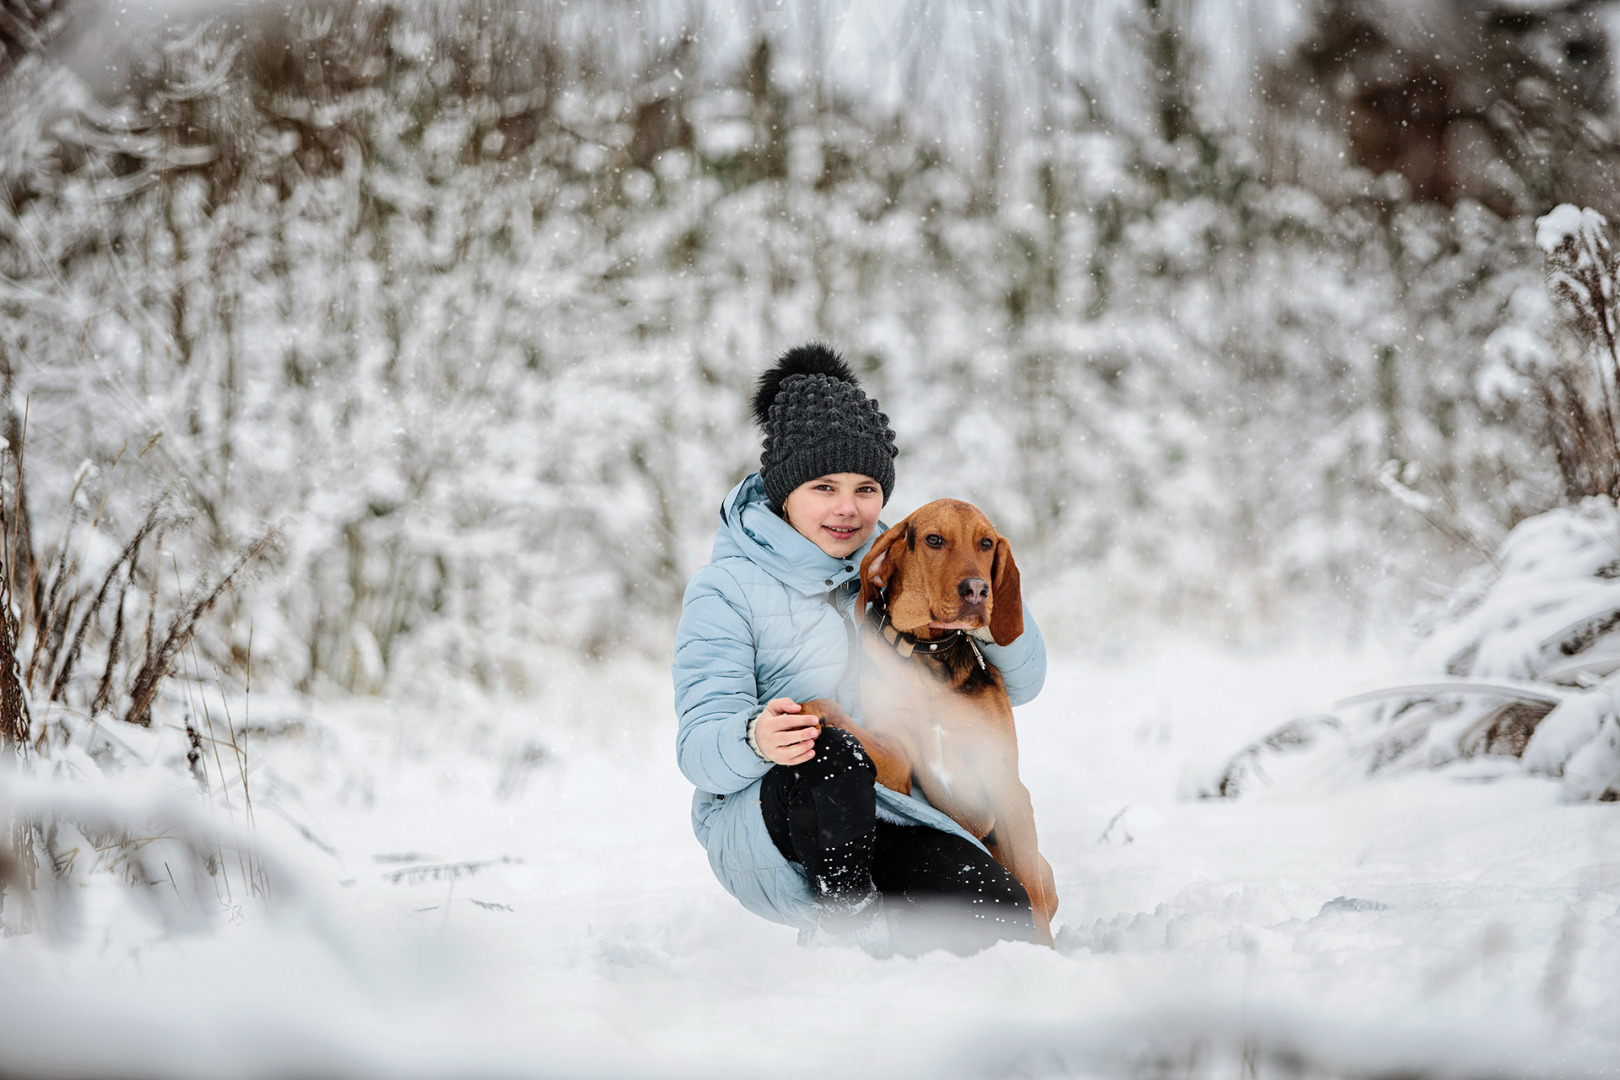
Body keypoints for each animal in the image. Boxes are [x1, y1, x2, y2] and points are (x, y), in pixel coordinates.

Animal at [800, 498, 1062, 945]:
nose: (977, 590)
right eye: (934, 540)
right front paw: (799, 710)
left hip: (1041, 864)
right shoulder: (899, 763)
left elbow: (1031, 898)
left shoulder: (1005, 782)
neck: (930, 653)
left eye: (986, 543)